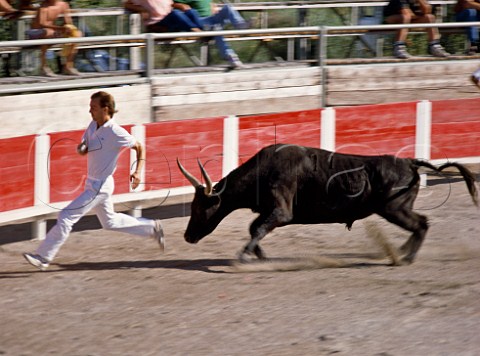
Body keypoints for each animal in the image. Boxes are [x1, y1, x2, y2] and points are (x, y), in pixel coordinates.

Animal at [178, 143, 478, 262]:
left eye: (199, 207)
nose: (187, 236)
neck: (264, 170)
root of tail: (409, 162)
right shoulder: (271, 210)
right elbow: (254, 228)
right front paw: (260, 255)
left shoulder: (281, 211)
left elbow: (258, 228)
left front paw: (242, 257)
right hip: (396, 209)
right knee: (419, 226)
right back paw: (401, 252)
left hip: (395, 209)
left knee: (422, 224)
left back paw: (406, 258)